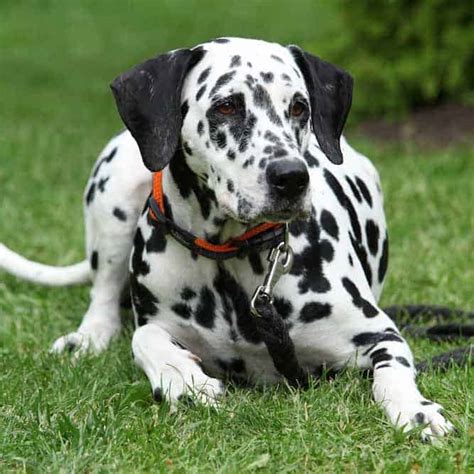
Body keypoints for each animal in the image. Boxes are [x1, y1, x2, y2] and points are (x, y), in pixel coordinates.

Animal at [0, 37, 452, 440]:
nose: (291, 177)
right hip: (116, 192)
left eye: (299, 107)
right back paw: (91, 337)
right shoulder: (158, 320)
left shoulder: (379, 335)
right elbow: (145, 337)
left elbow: (393, 374)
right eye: (227, 105)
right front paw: (183, 379)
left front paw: (415, 410)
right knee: (104, 294)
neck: (229, 258)